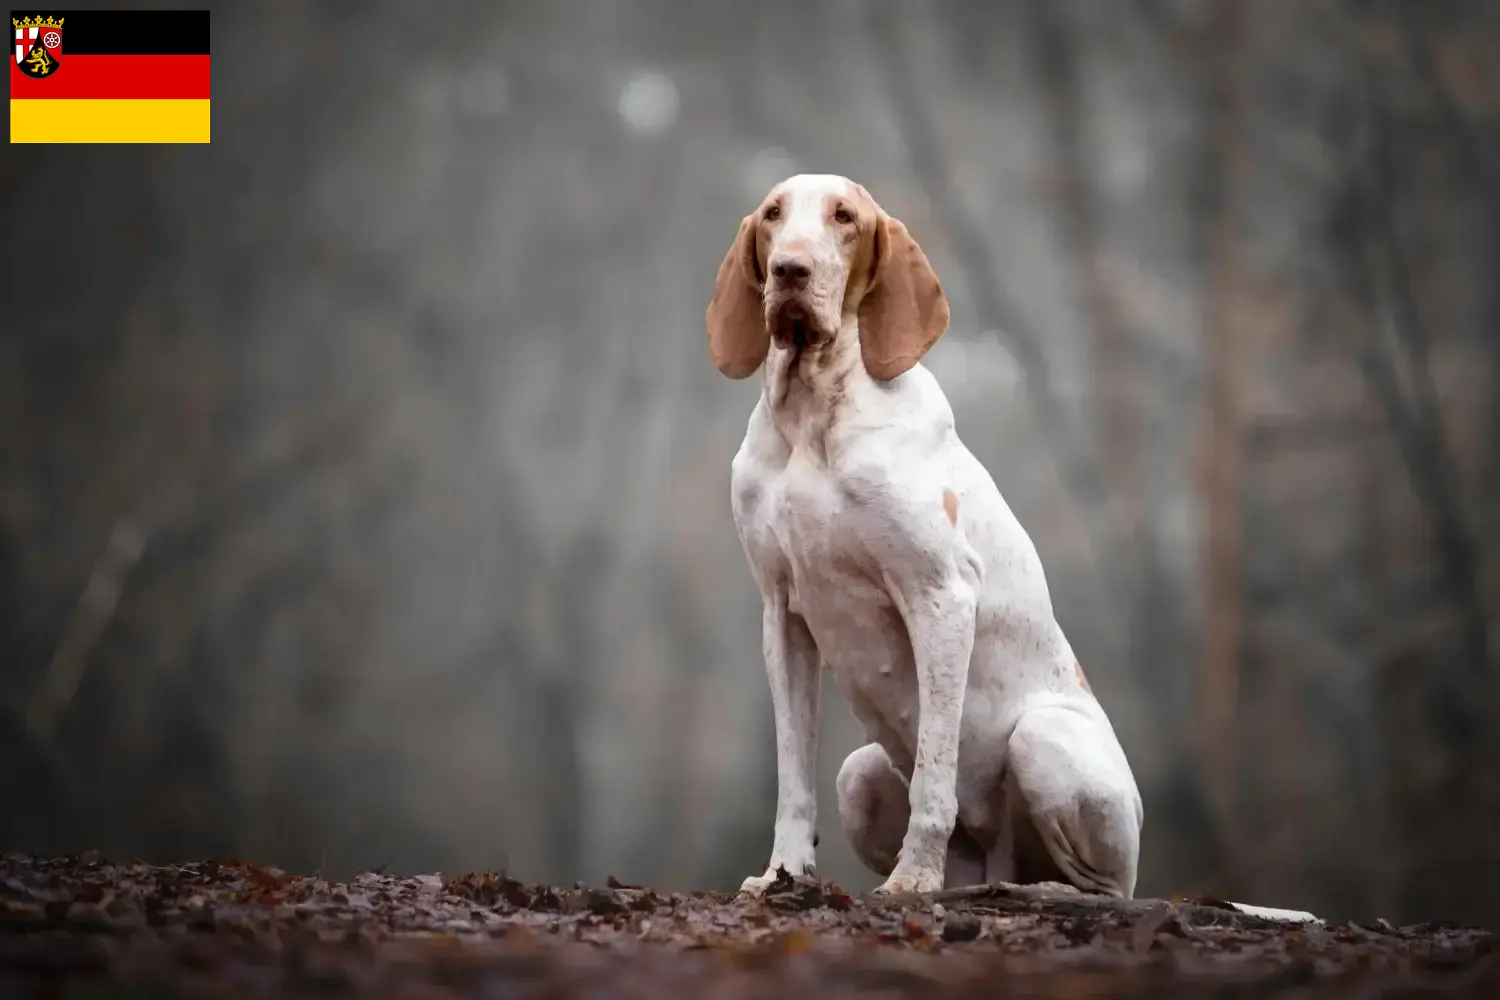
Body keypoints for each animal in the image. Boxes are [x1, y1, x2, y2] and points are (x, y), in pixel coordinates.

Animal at [708, 173, 1140, 899]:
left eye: (844, 217)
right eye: (773, 215)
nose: (791, 269)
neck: (814, 412)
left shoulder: (940, 598)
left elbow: (936, 775)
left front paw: (912, 879)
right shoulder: (783, 616)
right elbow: (793, 777)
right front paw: (783, 873)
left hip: (1044, 741)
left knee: (1105, 888)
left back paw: (1038, 890)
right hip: (860, 775)